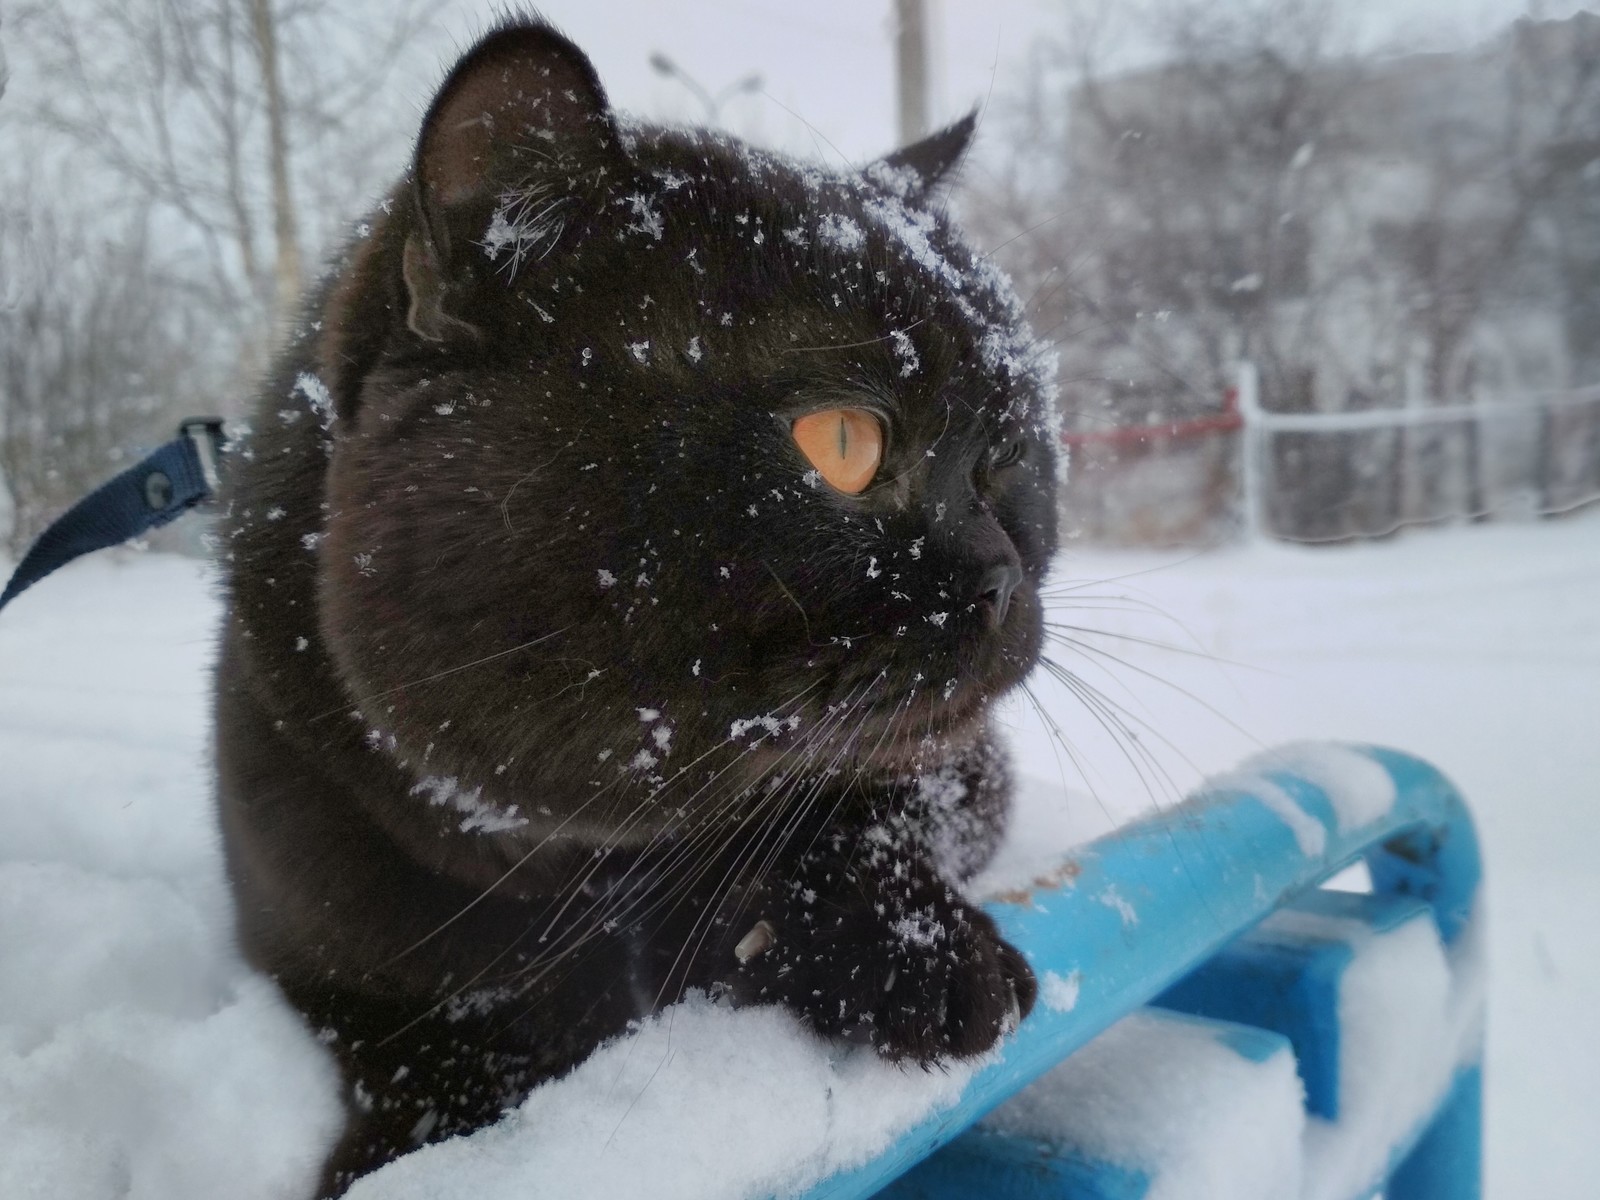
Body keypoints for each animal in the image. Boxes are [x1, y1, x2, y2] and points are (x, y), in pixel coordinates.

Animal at [216, 14, 1062, 1196]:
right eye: (843, 442)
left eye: (1007, 459)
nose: (1002, 574)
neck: (567, 863)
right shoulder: (319, 938)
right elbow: (421, 1044)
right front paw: (401, 1153)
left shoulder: (964, 768)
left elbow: (867, 808)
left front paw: (918, 957)